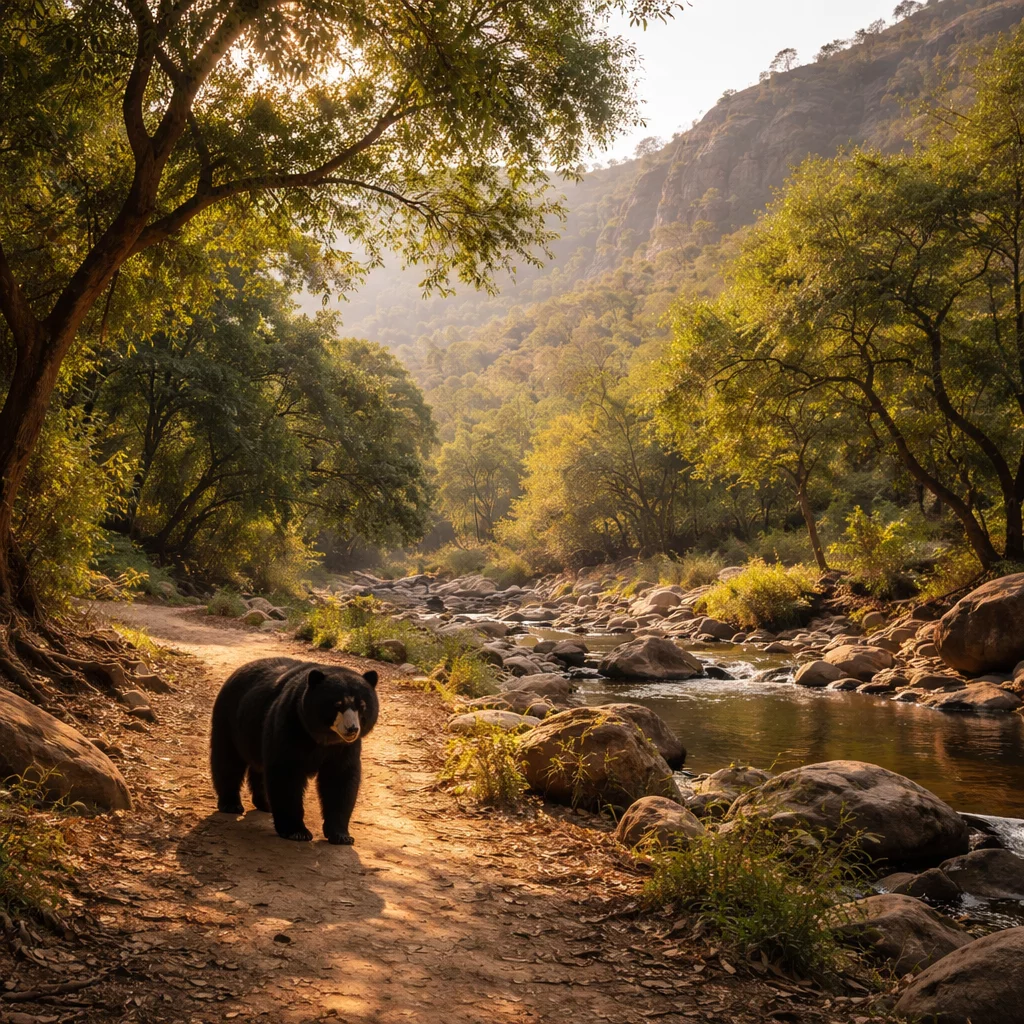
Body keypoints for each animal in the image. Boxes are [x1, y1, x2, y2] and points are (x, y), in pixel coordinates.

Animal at [209, 657, 379, 844]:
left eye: (361, 705)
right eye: (337, 704)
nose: (352, 729)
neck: (323, 738)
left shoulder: (343, 747)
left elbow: (340, 779)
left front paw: (341, 835)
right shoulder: (290, 724)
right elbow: (286, 773)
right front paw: (297, 831)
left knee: (259, 767)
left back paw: (265, 803)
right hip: (229, 718)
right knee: (227, 759)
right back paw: (231, 804)